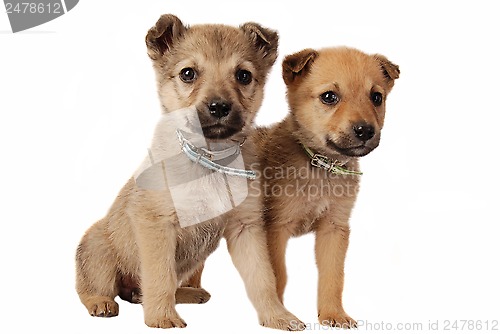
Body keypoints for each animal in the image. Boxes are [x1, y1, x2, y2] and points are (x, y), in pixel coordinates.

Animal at [73, 14, 300, 330]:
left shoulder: (246, 228)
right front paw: (162, 317)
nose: (219, 107)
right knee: (92, 286)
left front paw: (277, 316)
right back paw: (101, 302)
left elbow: (262, 279)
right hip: (98, 248)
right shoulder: (157, 225)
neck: (209, 159)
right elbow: (159, 275)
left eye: (243, 75)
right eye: (188, 73)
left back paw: (188, 293)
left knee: (143, 291)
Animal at [258, 47, 398, 328]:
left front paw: (333, 314)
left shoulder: (334, 228)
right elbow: (278, 274)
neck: (322, 167)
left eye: (376, 97)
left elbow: (333, 276)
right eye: (329, 97)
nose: (365, 130)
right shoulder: (277, 227)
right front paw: (279, 315)